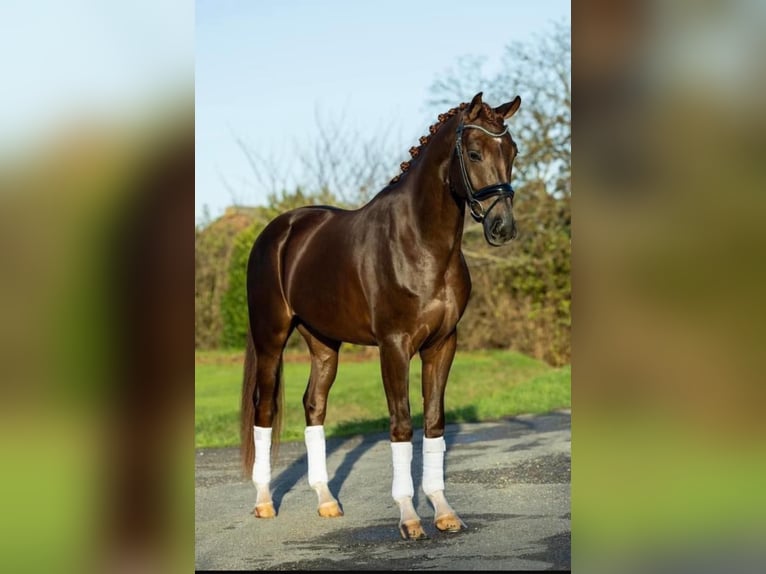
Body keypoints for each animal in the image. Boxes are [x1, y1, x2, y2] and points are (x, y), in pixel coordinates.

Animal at [240, 91, 521, 540]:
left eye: (511, 151)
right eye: (474, 153)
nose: (502, 227)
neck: (420, 243)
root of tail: (278, 231)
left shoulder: (443, 344)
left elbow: (434, 423)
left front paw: (443, 511)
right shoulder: (394, 346)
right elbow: (402, 425)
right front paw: (409, 517)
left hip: (324, 342)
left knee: (314, 406)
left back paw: (326, 501)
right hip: (271, 340)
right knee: (264, 410)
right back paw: (265, 503)